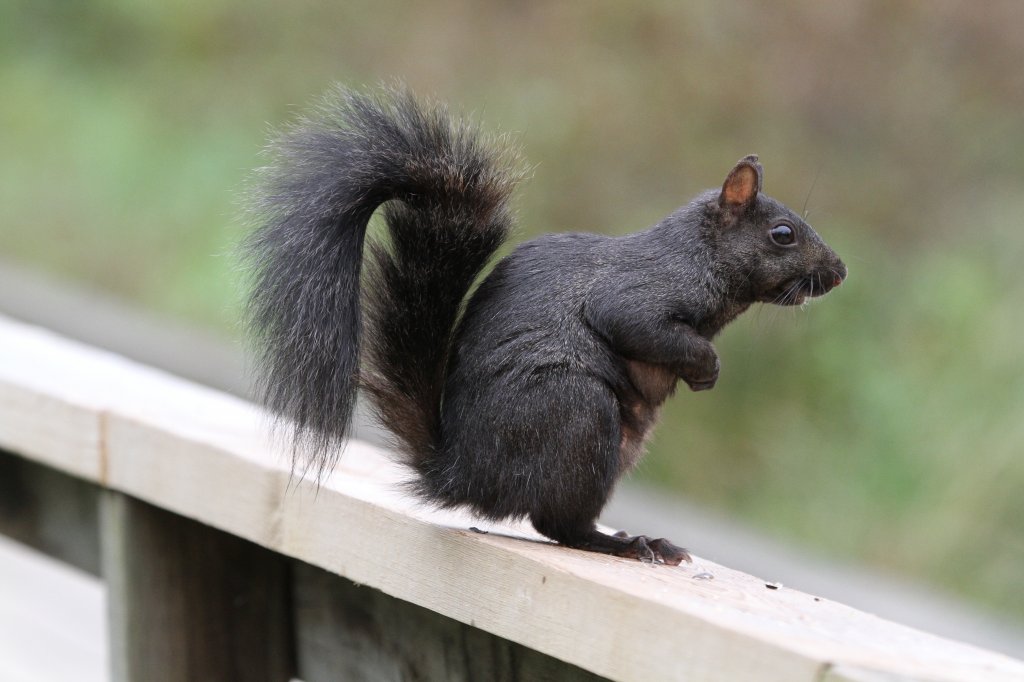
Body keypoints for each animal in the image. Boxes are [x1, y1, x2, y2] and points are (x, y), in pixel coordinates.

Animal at [243, 84, 843, 561]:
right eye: (783, 234)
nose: (838, 272)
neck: (699, 255)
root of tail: (463, 474)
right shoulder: (640, 294)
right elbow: (641, 326)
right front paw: (706, 366)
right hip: (577, 417)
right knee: (558, 523)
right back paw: (628, 544)